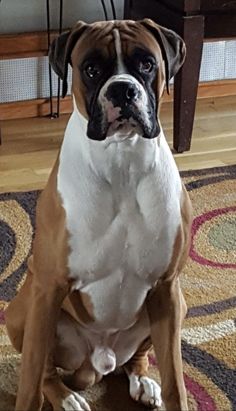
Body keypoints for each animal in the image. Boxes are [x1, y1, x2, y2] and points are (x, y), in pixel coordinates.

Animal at [5, 19, 192, 411]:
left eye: (147, 64)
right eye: (91, 69)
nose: (122, 89)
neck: (121, 160)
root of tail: (100, 362)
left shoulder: (166, 287)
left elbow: (176, 382)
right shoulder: (49, 288)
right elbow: (29, 382)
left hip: (177, 307)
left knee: (138, 360)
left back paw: (142, 381)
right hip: (21, 311)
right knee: (45, 371)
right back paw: (65, 396)